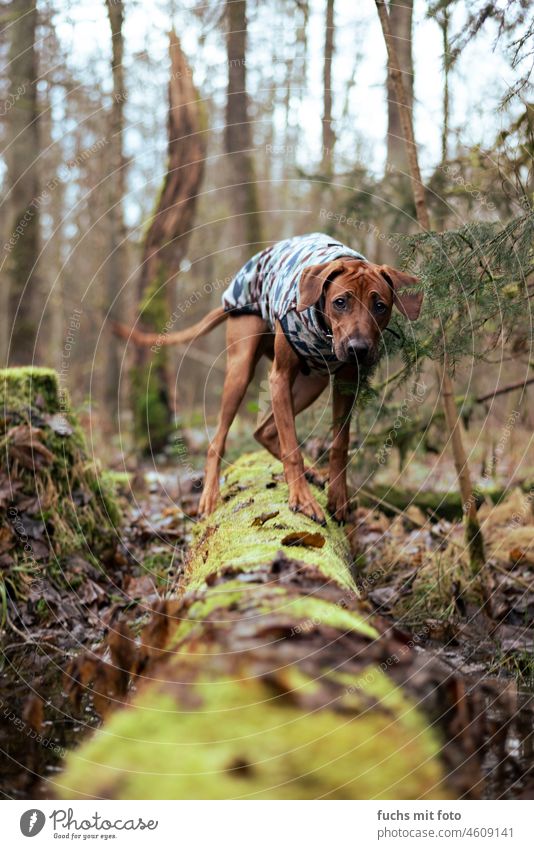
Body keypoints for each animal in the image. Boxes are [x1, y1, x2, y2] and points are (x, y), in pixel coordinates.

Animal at [115, 234, 426, 524]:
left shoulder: (347, 382)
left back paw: (311, 472)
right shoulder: (279, 378)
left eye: (380, 306)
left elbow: (340, 444)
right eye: (340, 302)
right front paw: (302, 499)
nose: (357, 350)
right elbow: (291, 446)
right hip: (241, 370)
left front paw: (338, 496)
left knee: (262, 431)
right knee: (218, 441)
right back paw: (210, 497)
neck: (322, 328)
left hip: (312, 382)